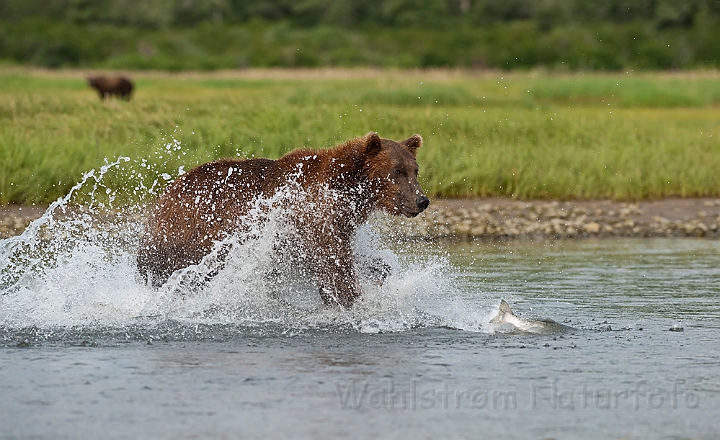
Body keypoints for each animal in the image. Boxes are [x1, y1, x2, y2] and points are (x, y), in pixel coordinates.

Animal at [138, 132, 430, 308]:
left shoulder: (336, 224)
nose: (422, 200)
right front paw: (352, 297)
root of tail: (160, 202)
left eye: (415, 170)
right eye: (397, 171)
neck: (346, 188)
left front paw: (379, 272)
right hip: (194, 238)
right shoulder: (311, 215)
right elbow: (334, 264)